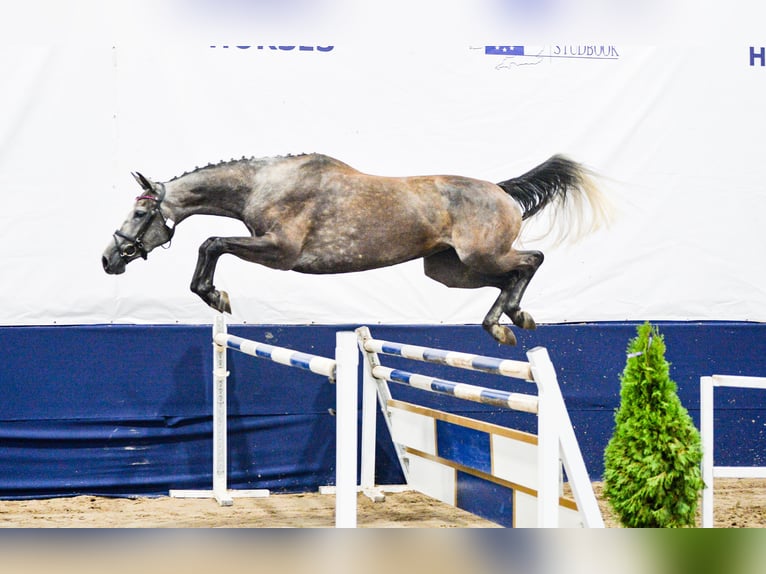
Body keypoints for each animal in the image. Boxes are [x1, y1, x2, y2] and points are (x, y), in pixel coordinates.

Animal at [102, 153, 611, 345]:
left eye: (140, 215)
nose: (108, 259)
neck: (263, 184)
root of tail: (501, 190)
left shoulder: (281, 252)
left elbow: (212, 243)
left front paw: (216, 296)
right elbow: (213, 244)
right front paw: (215, 295)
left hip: (478, 257)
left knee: (531, 260)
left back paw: (509, 321)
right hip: (449, 270)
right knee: (510, 275)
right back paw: (507, 319)